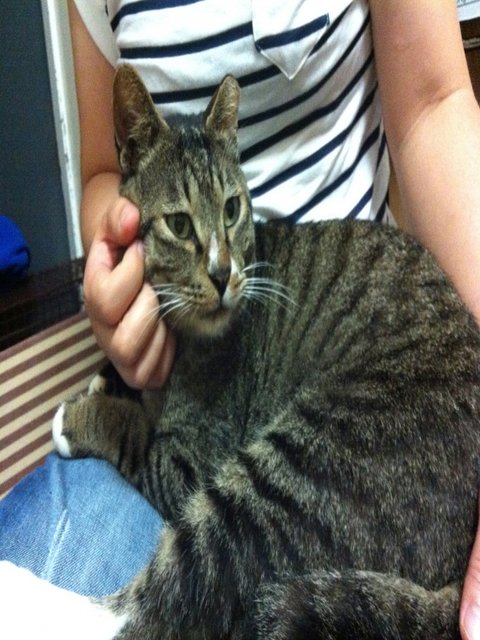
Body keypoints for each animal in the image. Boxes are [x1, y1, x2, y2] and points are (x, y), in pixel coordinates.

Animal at [51, 63, 480, 639]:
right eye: (179, 224)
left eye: (232, 209)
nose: (221, 274)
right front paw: (109, 377)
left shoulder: (191, 464)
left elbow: (135, 432)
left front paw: (84, 413)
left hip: (301, 473)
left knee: (158, 603)